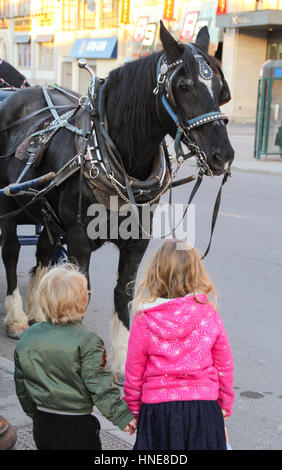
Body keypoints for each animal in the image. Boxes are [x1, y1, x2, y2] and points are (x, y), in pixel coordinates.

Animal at [0, 23, 234, 376]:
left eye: (220, 89)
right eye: (184, 86)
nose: (224, 155)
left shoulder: (136, 242)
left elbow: (124, 292)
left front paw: (124, 361)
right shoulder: (79, 239)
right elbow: (80, 288)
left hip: (46, 213)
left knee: (44, 252)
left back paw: (38, 313)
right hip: (11, 207)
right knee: (11, 253)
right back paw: (16, 316)